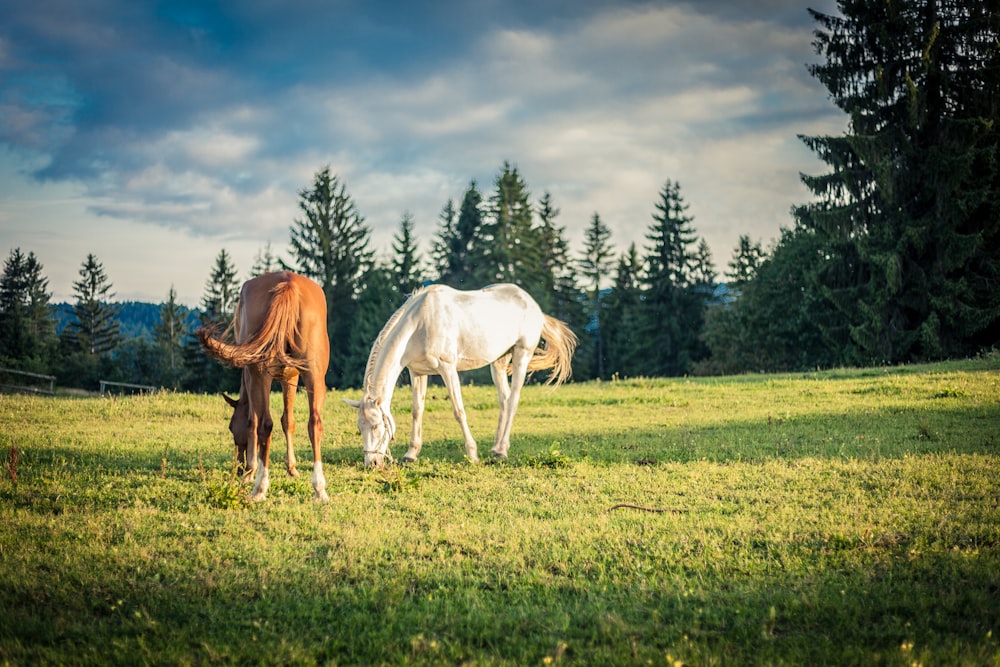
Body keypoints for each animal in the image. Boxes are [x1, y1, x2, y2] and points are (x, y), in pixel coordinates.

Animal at [197, 272, 330, 500]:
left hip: (260, 375)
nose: (238, 467)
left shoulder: (251, 379)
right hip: (314, 376)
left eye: (231, 427)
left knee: (265, 425)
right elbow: (288, 421)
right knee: (314, 423)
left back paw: (260, 487)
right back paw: (319, 488)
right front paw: (292, 468)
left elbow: (252, 422)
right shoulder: (291, 377)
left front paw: (250, 471)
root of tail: (288, 282)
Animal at [346, 284, 576, 468]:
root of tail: (533, 305)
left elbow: (459, 411)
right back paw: (496, 448)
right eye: (360, 428)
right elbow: (417, 411)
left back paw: (502, 451)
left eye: (376, 426)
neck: (421, 322)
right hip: (498, 363)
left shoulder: (448, 368)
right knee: (504, 400)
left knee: (513, 401)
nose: (372, 463)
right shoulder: (417, 372)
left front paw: (472, 455)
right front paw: (411, 454)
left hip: (522, 355)